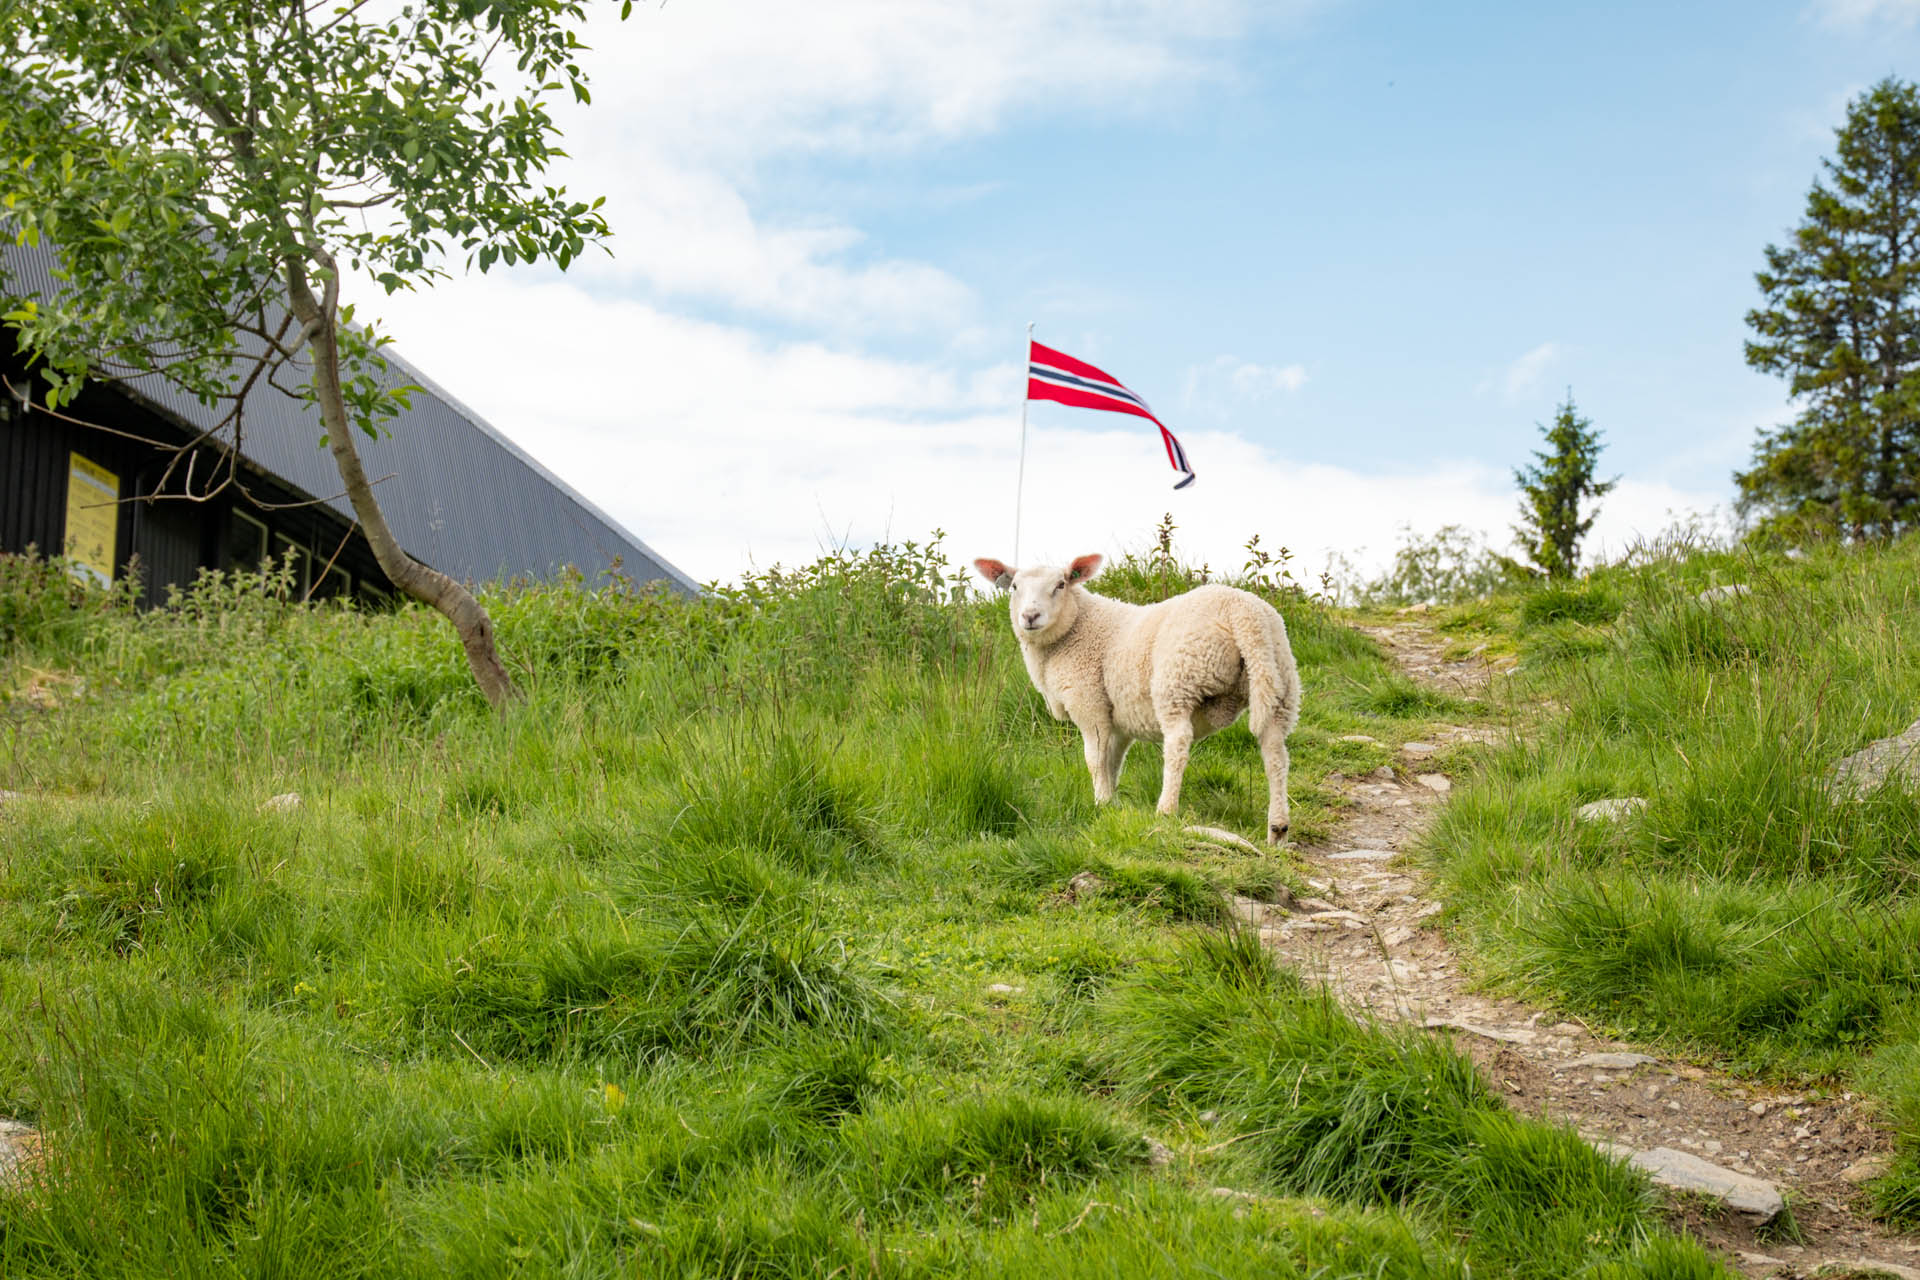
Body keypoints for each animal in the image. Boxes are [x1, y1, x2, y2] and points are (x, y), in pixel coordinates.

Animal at [975, 552, 1305, 840]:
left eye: (1060, 585)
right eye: (1014, 587)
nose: (1030, 616)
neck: (1075, 630)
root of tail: (1244, 614)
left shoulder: (1089, 703)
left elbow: (1094, 759)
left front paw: (1101, 802)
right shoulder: (1118, 719)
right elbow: (1112, 762)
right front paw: (1110, 801)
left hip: (1179, 680)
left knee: (1178, 743)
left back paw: (1166, 810)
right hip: (1281, 682)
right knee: (1276, 754)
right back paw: (1278, 828)